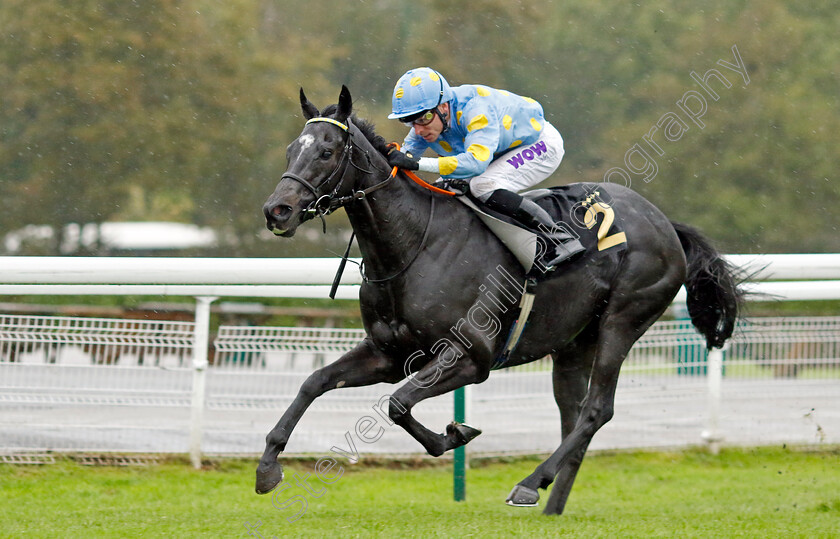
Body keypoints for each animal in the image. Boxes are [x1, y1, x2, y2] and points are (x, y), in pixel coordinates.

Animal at [258, 86, 740, 516]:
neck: (414, 245)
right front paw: (267, 469)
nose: (277, 210)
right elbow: (315, 382)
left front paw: (455, 434)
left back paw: (529, 484)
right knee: (573, 415)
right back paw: (552, 504)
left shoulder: (471, 357)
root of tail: (666, 224)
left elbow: (397, 403)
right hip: (573, 343)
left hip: (622, 322)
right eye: (290, 149)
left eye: (326, 152)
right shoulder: (387, 353)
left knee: (597, 410)